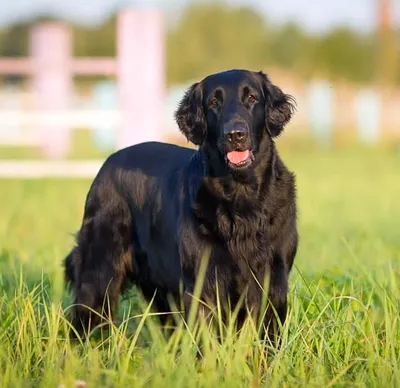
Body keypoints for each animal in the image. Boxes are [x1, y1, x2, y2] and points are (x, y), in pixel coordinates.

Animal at [64, 69, 298, 342]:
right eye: (213, 102)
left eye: (251, 97)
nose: (235, 135)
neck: (241, 195)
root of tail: (106, 164)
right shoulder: (203, 282)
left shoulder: (274, 279)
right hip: (100, 270)